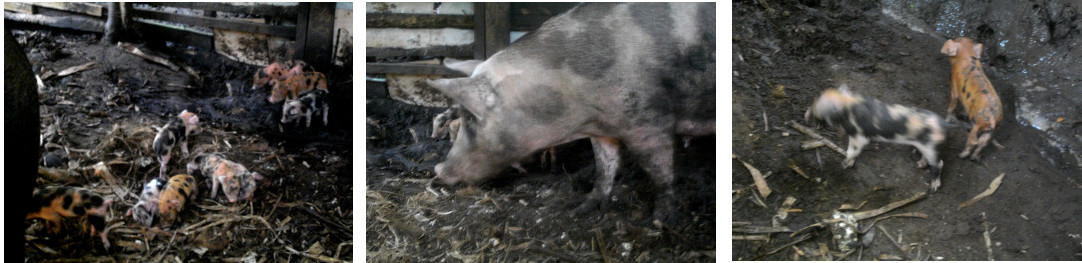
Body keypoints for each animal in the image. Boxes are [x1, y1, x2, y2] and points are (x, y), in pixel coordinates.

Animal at [424, 2, 718, 224]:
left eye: (470, 117)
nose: (438, 169)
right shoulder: (603, 128)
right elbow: (605, 166)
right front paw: (583, 209)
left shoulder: (649, 119)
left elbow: (659, 170)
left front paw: (658, 222)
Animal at [805, 85, 947, 192]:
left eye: (819, 114)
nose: (808, 117)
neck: (846, 106)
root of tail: (942, 123)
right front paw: (848, 163)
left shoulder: (859, 136)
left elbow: (851, 151)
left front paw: (844, 165)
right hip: (925, 146)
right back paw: (920, 164)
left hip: (930, 147)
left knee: (939, 164)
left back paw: (933, 188)